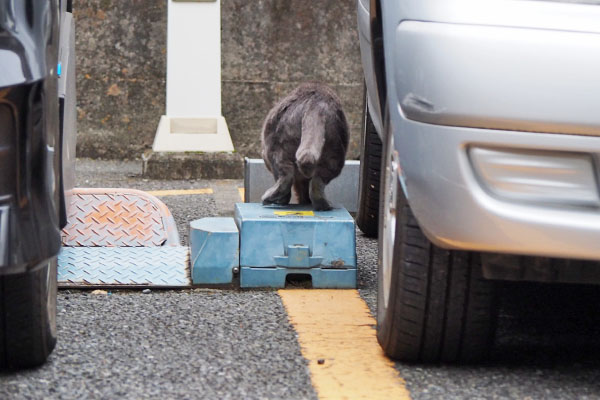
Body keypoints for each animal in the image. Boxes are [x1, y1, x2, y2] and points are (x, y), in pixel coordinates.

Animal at [260, 83, 350, 211]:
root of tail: (316, 103)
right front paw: (305, 201)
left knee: (285, 177)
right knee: (318, 180)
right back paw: (322, 204)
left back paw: (272, 199)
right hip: (334, 151)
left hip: (277, 146)